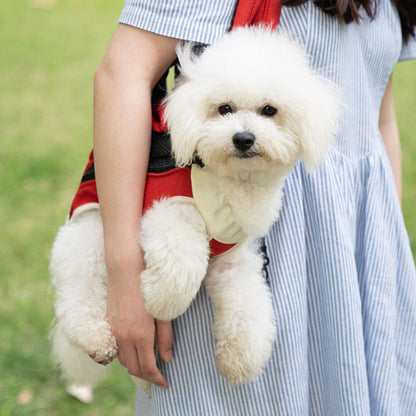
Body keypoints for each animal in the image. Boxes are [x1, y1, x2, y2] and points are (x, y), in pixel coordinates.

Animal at [49, 26, 338, 394]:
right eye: (224, 108)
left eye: (269, 110)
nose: (243, 138)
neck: (231, 183)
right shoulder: (168, 213)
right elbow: (181, 266)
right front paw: (159, 301)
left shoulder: (236, 257)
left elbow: (247, 306)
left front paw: (240, 360)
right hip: (90, 234)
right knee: (79, 292)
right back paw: (94, 337)